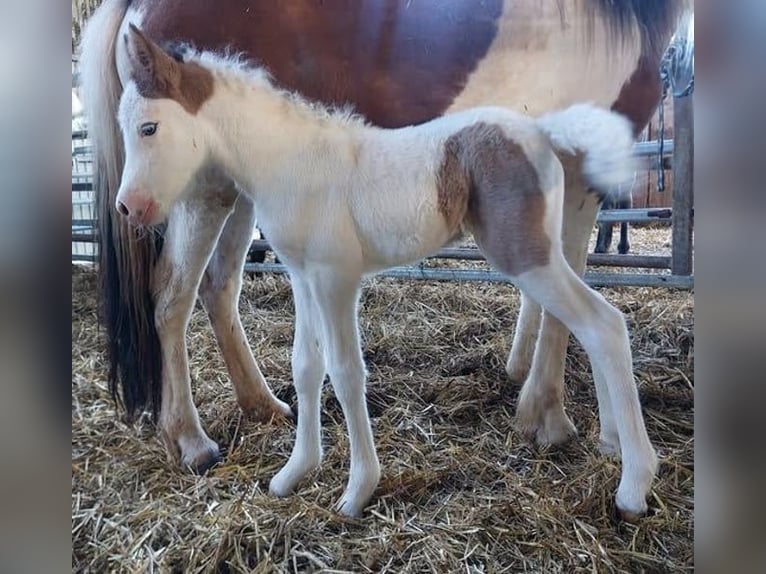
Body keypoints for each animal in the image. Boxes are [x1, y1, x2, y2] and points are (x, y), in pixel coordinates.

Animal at [80, 0, 690, 514]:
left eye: (149, 127)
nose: (129, 207)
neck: (292, 158)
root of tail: (540, 131)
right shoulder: (303, 275)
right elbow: (306, 366)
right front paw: (294, 472)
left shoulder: (336, 278)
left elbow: (347, 371)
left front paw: (357, 491)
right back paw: (611, 446)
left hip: (528, 254)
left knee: (604, 323)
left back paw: (633, 483)